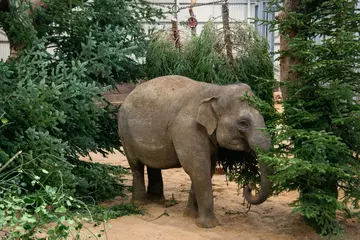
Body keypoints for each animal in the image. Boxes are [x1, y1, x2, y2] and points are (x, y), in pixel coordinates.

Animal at [116, 75, 272, 229]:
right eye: (243, 123)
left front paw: (190, 216)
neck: (216, 90)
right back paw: (139, 204)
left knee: (153, 165)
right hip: (124, 131)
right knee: (136, 165)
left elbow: (207, 169)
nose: (250, 186)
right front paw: (209, 226)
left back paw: (157, 201)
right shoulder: (188, 128)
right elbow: (197, 168)